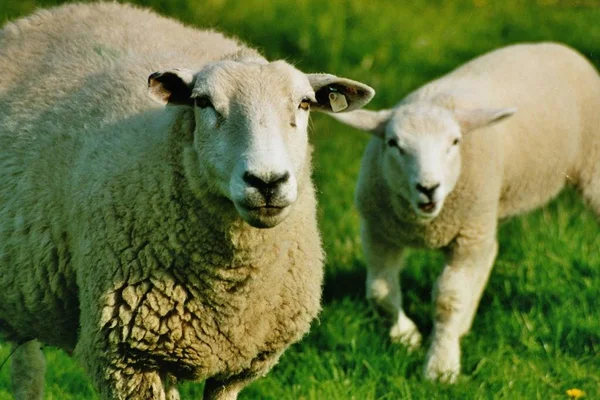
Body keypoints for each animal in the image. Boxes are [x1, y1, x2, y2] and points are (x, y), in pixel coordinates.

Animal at [0, 3, 376, 400]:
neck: (231, 285)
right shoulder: (128, 358)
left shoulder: (236, 366)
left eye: (304, 104)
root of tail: (50, 13)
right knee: (28, 371)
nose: (267, 182)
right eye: (202, 103)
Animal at [330, 42, 600, 382]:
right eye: (393, 144)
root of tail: (557, 47)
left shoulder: (466, 236)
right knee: (490, 251)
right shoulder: (378, 232)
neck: (425, 226)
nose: (428, 187)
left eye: (455, 142)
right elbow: (380, 292)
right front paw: (407, 337)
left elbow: (449, 299)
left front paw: (441, 365)